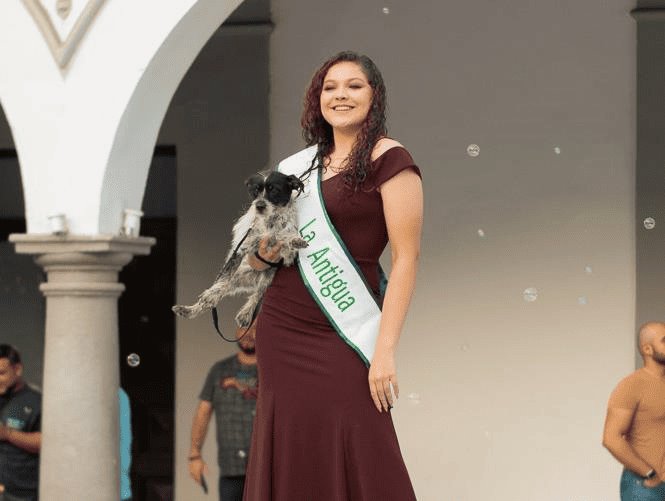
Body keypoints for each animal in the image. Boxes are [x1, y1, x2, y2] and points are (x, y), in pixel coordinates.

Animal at [170, 171, 308, 328]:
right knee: (221, 287)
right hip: (240, 274)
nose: (259, 206)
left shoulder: (286, 253)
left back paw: (246, 313)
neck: (269, 222)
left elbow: (284, 237)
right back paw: (190, 308)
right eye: (255, 191)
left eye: (274, 190)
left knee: (258, 293)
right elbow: (222, 281)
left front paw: (294, 239)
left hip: (268, 276)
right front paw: (211, 295)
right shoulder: (240, 250)